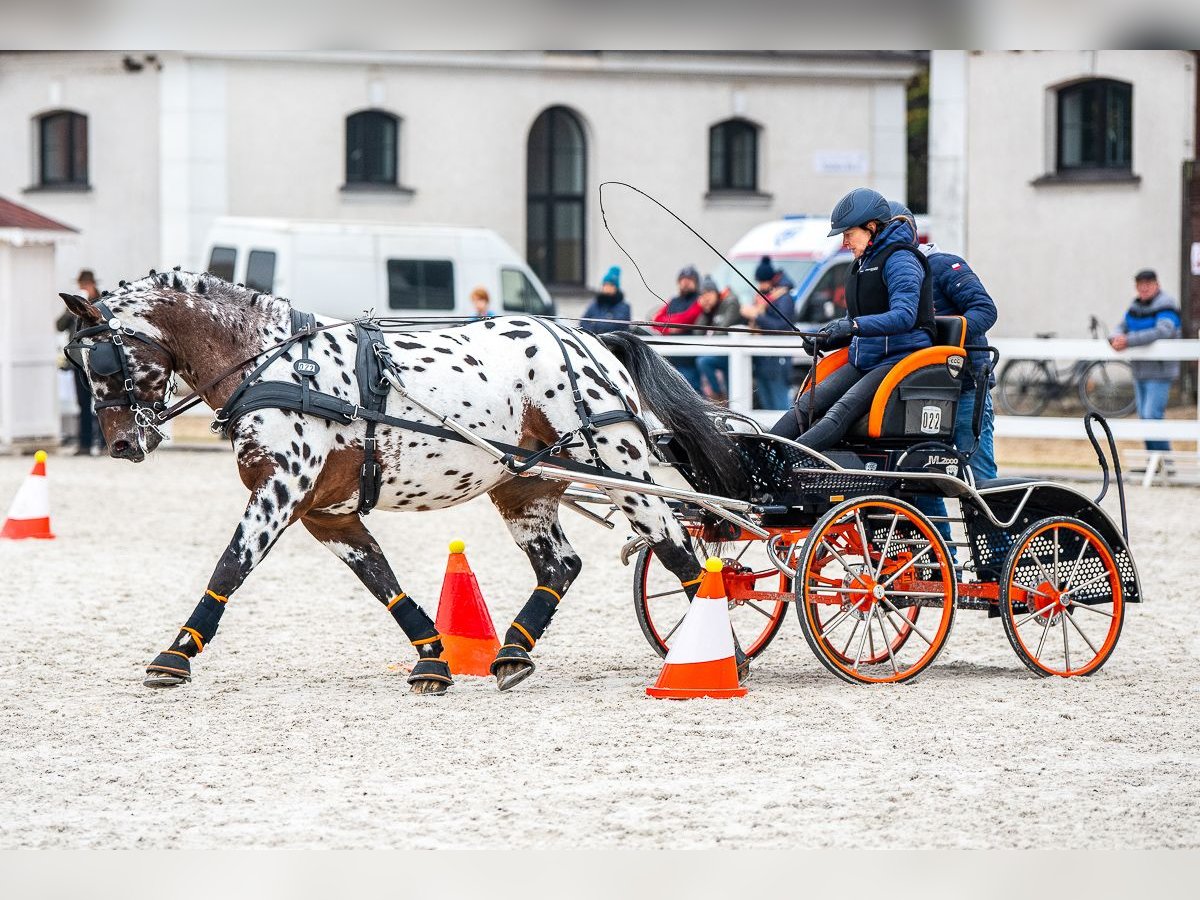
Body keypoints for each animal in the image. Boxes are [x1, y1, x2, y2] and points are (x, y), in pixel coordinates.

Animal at [63, 274, 748, 696]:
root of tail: (590, 338)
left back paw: (717, 655)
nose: (121, 444)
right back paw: (512, 654)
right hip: (523, 484)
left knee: (677, 549)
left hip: (622, 470)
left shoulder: (281, 491)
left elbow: (229, 568)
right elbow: (382, 582)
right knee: (561, 564)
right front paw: (432, 659)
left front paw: (174, 655)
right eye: (78, 361)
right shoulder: (327, 511)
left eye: (105, 361)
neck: (272, 362)